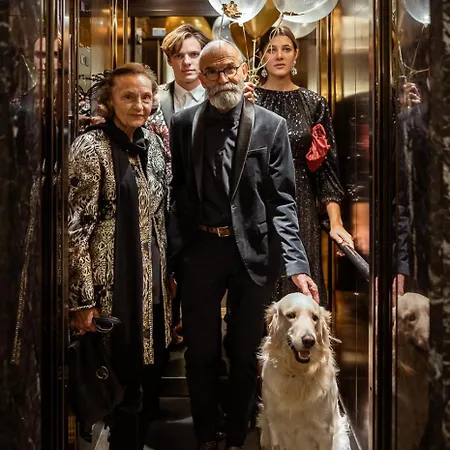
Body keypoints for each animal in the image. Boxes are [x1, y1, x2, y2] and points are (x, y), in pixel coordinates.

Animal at [258, 293, 350, 450]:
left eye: (315, 317)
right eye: (291, 315)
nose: (309, 340)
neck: (299, 374)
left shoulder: (325, 432)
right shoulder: (275, 429)